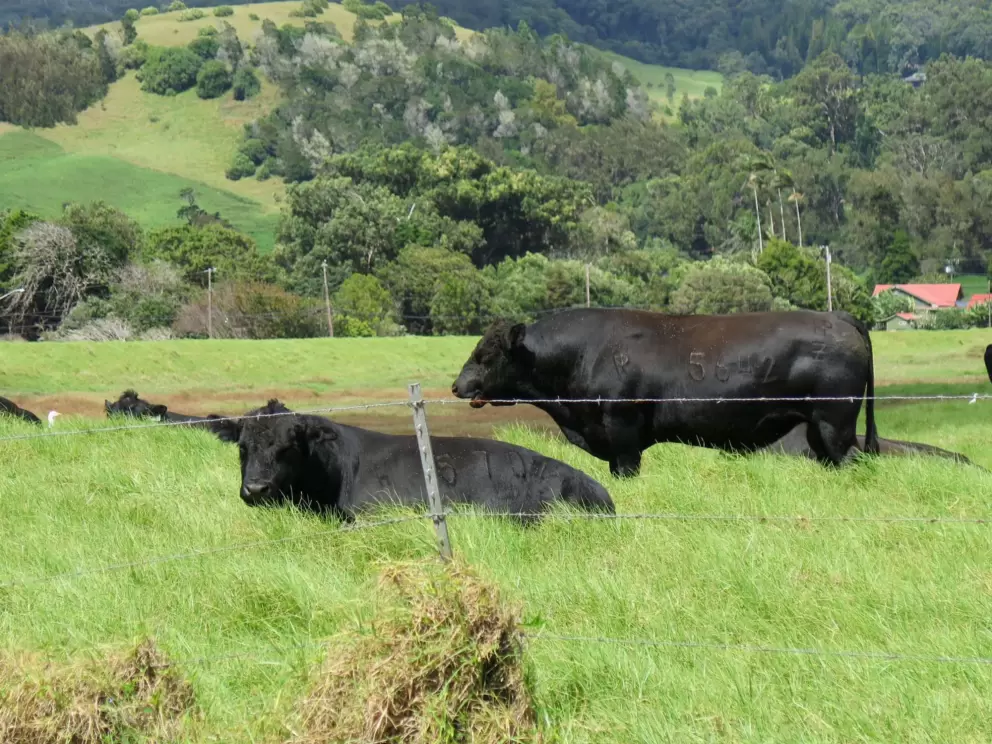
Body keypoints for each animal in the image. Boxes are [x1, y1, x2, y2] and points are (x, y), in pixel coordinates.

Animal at [452, 308, 879, 477]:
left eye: (485, 355)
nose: (458, 386)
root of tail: (835, 316)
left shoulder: (622, 429)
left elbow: (626, 469)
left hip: (835, 423)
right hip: (818, 429)